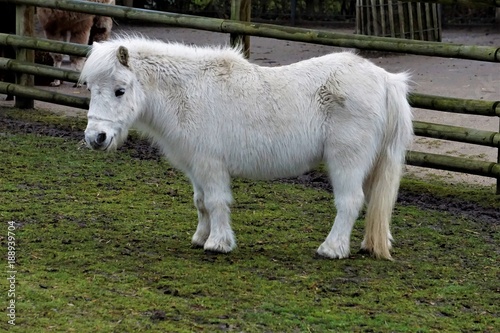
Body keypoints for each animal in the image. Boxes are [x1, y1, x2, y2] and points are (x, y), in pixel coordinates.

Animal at [80, 36, 412, 260]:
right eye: (91, 88)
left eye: (119, 90)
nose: (96, 137)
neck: (188, 93)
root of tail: (385, 80)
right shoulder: (196, 167)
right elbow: (201, 202)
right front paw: (200, 237)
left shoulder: (210, 164)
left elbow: (216, 201)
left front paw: (218, 243)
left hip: (347, 161)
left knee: (350, 202)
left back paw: (331, 249)